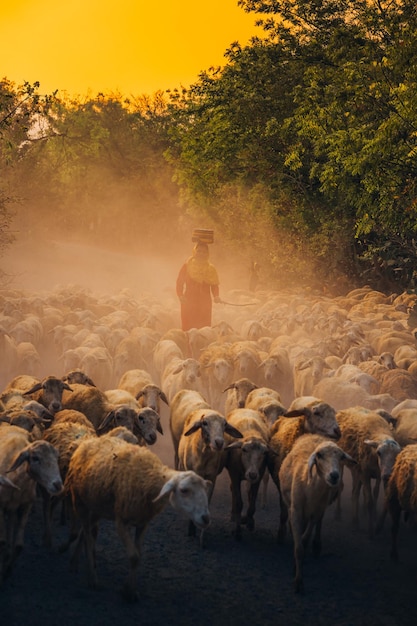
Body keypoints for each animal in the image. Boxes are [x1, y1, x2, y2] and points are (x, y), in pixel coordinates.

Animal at [0, 424, 62, 580]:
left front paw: (8, 569)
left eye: (56, 458)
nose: (58, 485)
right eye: (35, 458)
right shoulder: (1, 506)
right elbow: (2, 542)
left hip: (14, 508)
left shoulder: (26, 505)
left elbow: (19, 546)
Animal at [65, 434, 211, 600]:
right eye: (184, 490)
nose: (206, 518)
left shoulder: (143, 522)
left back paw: (74, 563)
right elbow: (134, 556)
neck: (149, 479)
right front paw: (128, 592)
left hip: (97, 505)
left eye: (205, 490)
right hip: (79, 501)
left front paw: (130, 589)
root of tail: (90, 440)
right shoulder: (121, 521)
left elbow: (139, 556)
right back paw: (92, 577)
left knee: (86, 530)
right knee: (88, 536)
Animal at [224, 408, 270, 540]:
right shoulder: (234, 475)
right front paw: (237, 531)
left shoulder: (259, 477)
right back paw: (233, 515)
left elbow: (252, 502)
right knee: (233, 491)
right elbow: (239, 503)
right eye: (244, 450)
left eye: (264, 453)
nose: (252, 474)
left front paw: (249, 522)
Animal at [278, 432, 356, 592]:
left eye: (341, 457)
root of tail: (313, 434)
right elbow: (299, 548)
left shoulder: (316, 513)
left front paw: (297, 567)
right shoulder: (296, 511)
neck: (312, 488)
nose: (334, 475)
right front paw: (298, 581)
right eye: (319, 455)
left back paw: (316, 545)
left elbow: (305, 539)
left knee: (318, 525)